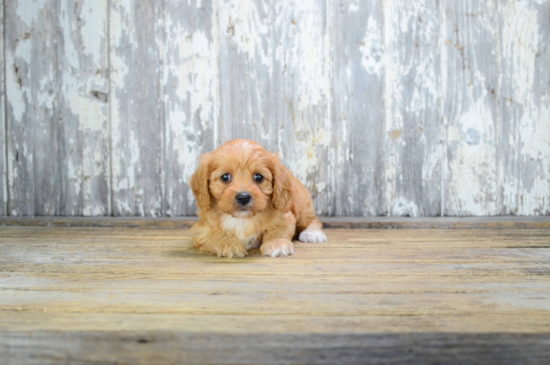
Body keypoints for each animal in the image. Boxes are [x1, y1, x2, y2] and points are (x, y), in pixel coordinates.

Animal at [190, 138, 328, 258]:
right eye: (225, 177)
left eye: (258, 177)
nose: (243, 197)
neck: (243, 218)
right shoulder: (201, 229)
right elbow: (215, 234)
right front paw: (230, 245)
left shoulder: (284, 217)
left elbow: (276, 230)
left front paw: (276, 244)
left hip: (301, 204)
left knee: (312, 220)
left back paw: (312, 233)